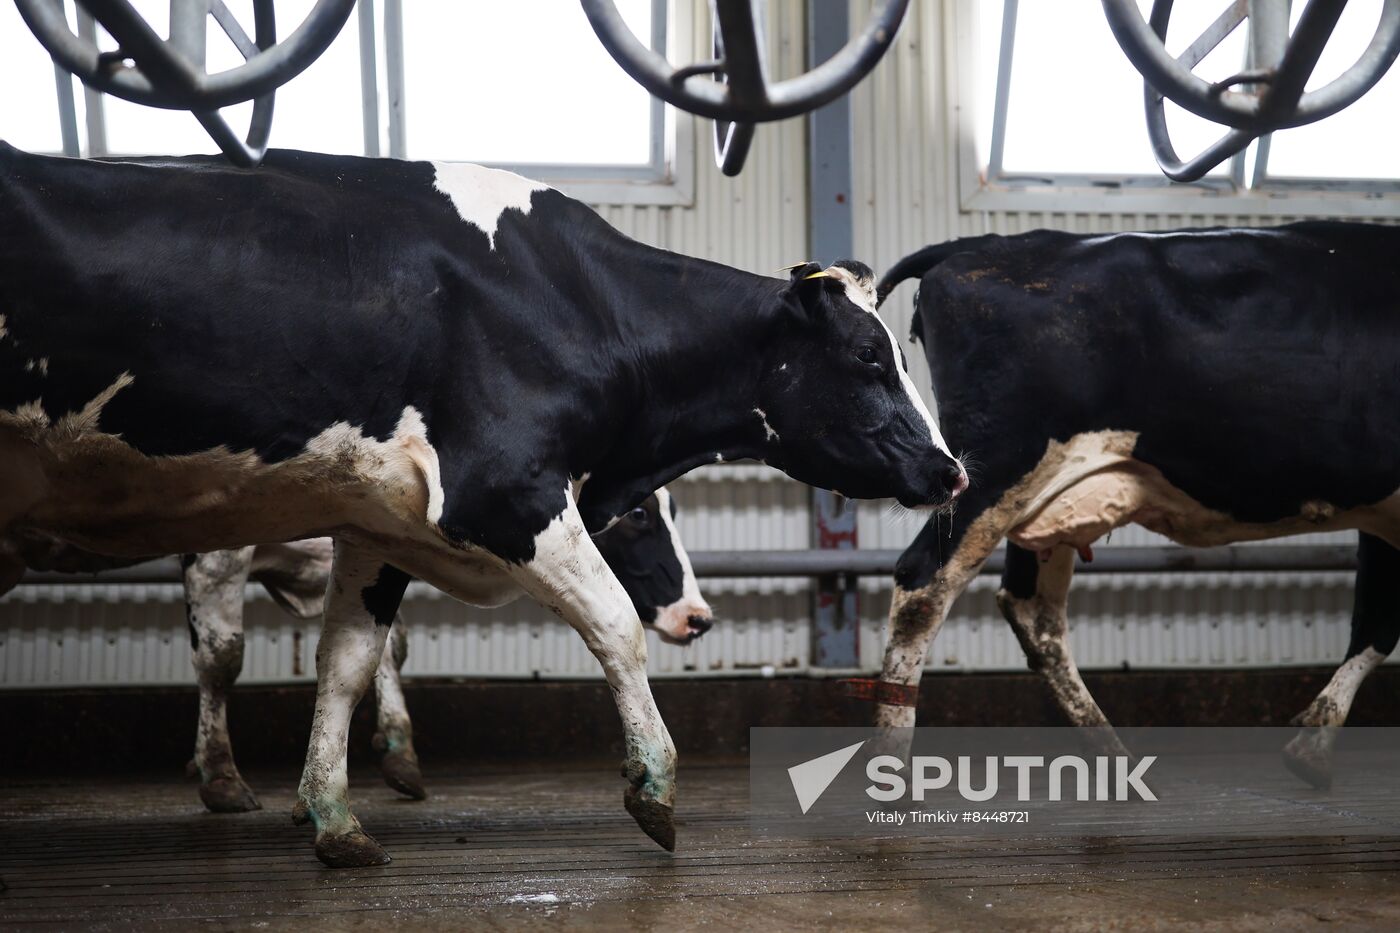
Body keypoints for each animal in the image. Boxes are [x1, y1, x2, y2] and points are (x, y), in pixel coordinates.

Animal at [0, 143, 963, 862]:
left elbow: (348, 661)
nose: (951, 470)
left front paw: (334, 817)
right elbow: (614, 625)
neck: (572, 300)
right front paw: (653, 787)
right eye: (869, 358)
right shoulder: (505, 490)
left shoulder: (372, 522)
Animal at [873, 224, 1400, 778]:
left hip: (1041, 500)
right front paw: (1313, 746)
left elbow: (1376, 618)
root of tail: (981, 243)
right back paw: (892, 764)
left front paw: (1314, 742)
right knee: (924, 586)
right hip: (993, 470)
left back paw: (1113, 759)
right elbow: (1382, 622)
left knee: (1031, 607)